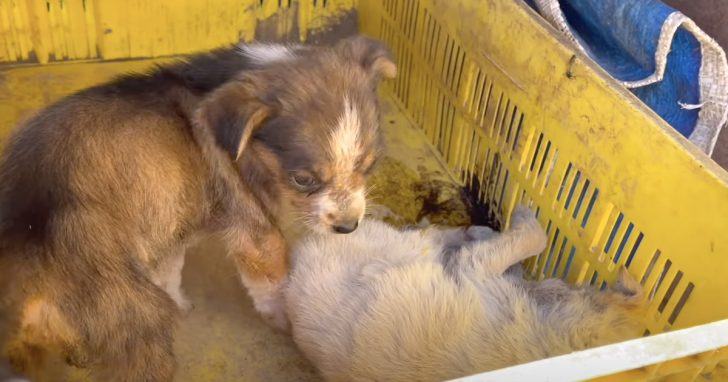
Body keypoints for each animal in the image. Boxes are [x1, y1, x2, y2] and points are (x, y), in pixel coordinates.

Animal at [0, 36, 396, 382]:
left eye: (370, 166)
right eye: (303, 180)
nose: (348, 228)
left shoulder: (168, 227)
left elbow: (170, 271)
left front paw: (182, 303)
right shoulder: (256, 231)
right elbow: (275, 287)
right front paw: (290, 326)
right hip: (134, 319)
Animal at [284, 207, 644, 380]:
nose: (546, 285)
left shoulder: (478, 270)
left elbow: (527, 240)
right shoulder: (481, 272)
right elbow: (534, 238)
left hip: (396, 243)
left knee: (437, 237)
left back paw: (472, 231)